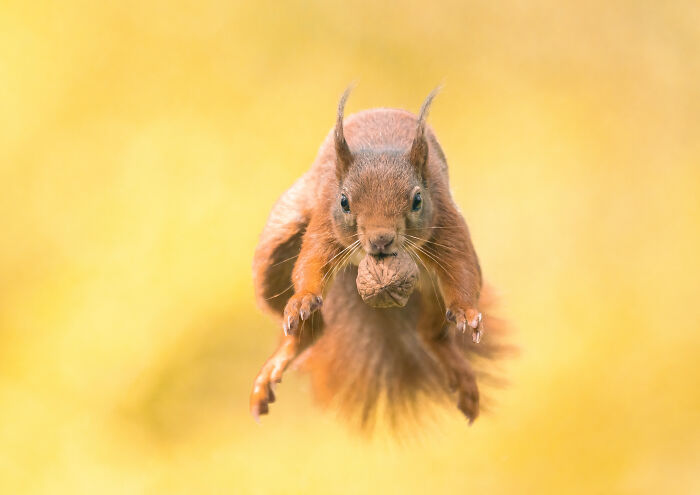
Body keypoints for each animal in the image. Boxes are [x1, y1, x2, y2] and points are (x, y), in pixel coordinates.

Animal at [250, 86, 510, 430]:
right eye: (344, 201)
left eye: (417, 200)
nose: (380, 240)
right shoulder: (325, 219)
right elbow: (311, 263)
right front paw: (303, 297)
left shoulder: (444, 217)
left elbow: (462, 267)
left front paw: (466, 312)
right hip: (274, 255)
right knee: (308, 331)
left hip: (430, 288)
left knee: (431, 335)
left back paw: (459, 372)